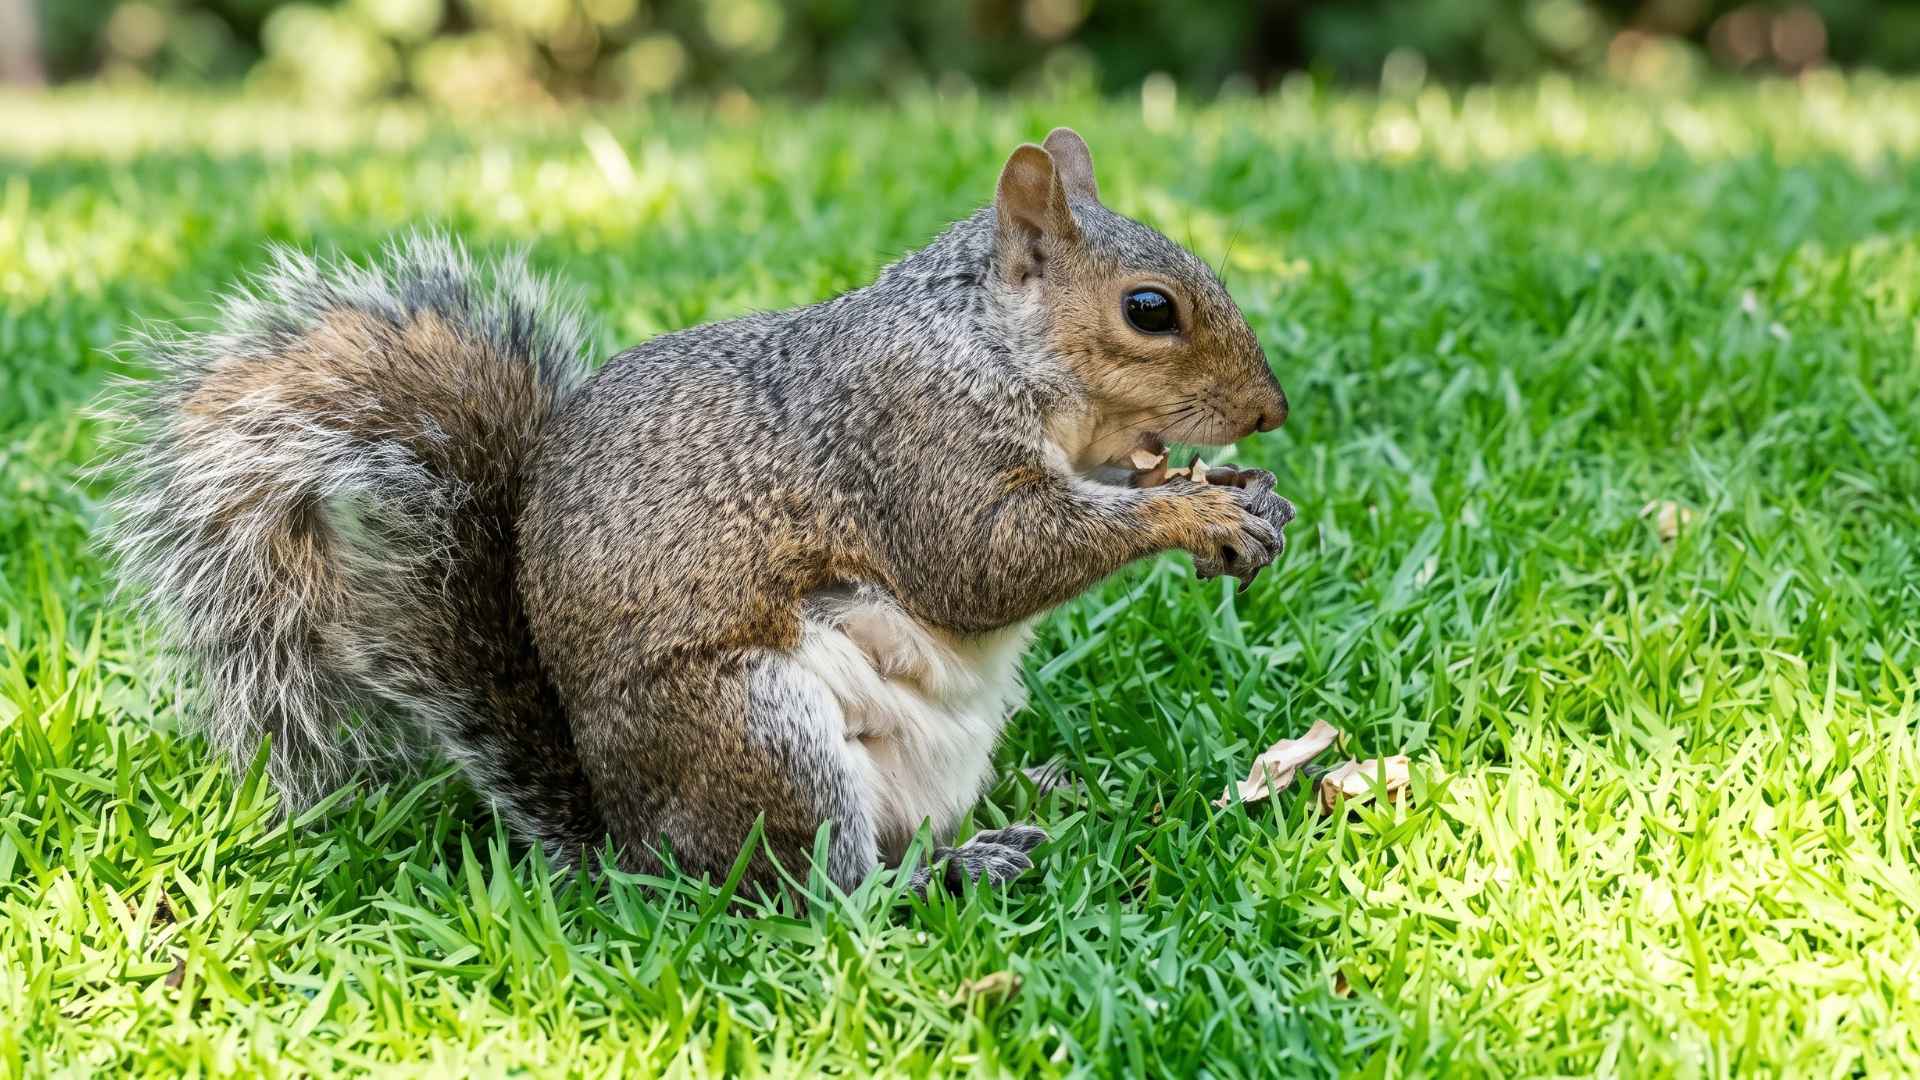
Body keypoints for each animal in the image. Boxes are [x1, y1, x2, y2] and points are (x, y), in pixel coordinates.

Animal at [104, 128, 1294, 896]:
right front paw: (1193, 517)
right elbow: (985, 561)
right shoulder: (909, 442)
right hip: (759, 730)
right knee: (815, 887)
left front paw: (1234, 492)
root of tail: (633, 843)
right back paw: (949, 872)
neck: (986, 342)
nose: (1271, 412)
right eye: (1150, 310)